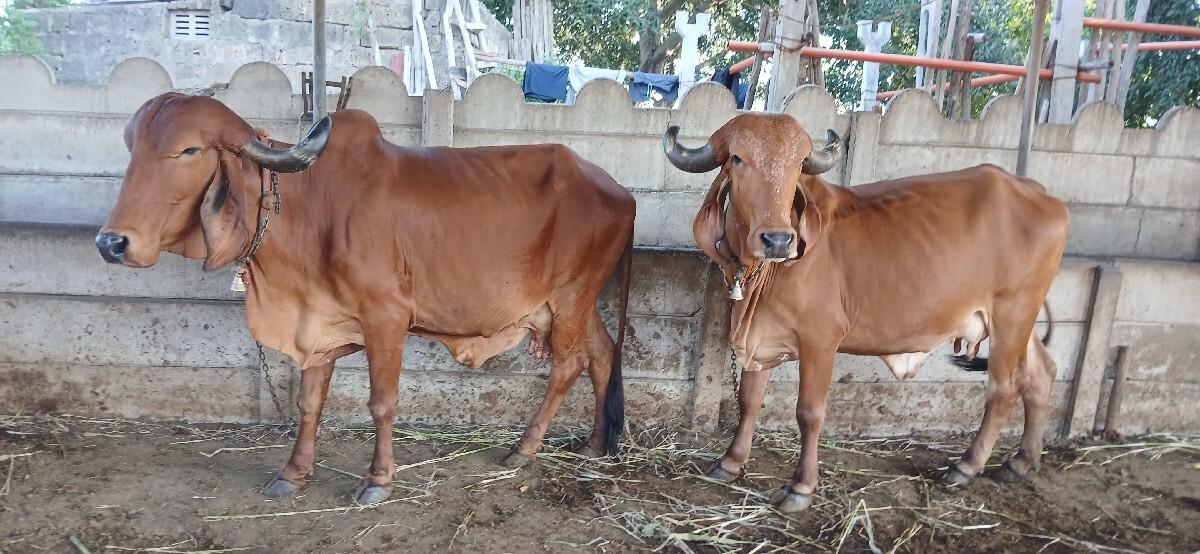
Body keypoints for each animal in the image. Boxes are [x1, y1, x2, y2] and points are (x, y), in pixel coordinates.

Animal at [95, 93, 636, 505]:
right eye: (131, 146)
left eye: (188, 150)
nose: (111, 243)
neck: (307, 208)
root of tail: (621, 191)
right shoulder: (316, 322)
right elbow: (309, 402)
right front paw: (293, 473)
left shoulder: (386, 318)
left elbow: (382, 402)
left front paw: (378, 480)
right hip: (571, 305)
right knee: (602, 355)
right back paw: (593, 444)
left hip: (570, 297)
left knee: (567, 366)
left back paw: (524, 448)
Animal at [662, 113, 1068, 513]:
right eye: (737, 159)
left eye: (798, 164)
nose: (778, 240)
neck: (762, 275)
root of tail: (1038, 192)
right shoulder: (760, 338)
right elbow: (748, 401)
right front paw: (731, 462)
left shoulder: (821, 340)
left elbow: (809, 412)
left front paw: (801, 486)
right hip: (1018, 321)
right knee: (1041, 374)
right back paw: (1020, 462)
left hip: (1012, 314)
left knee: (1004, 388)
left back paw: (967, 466)